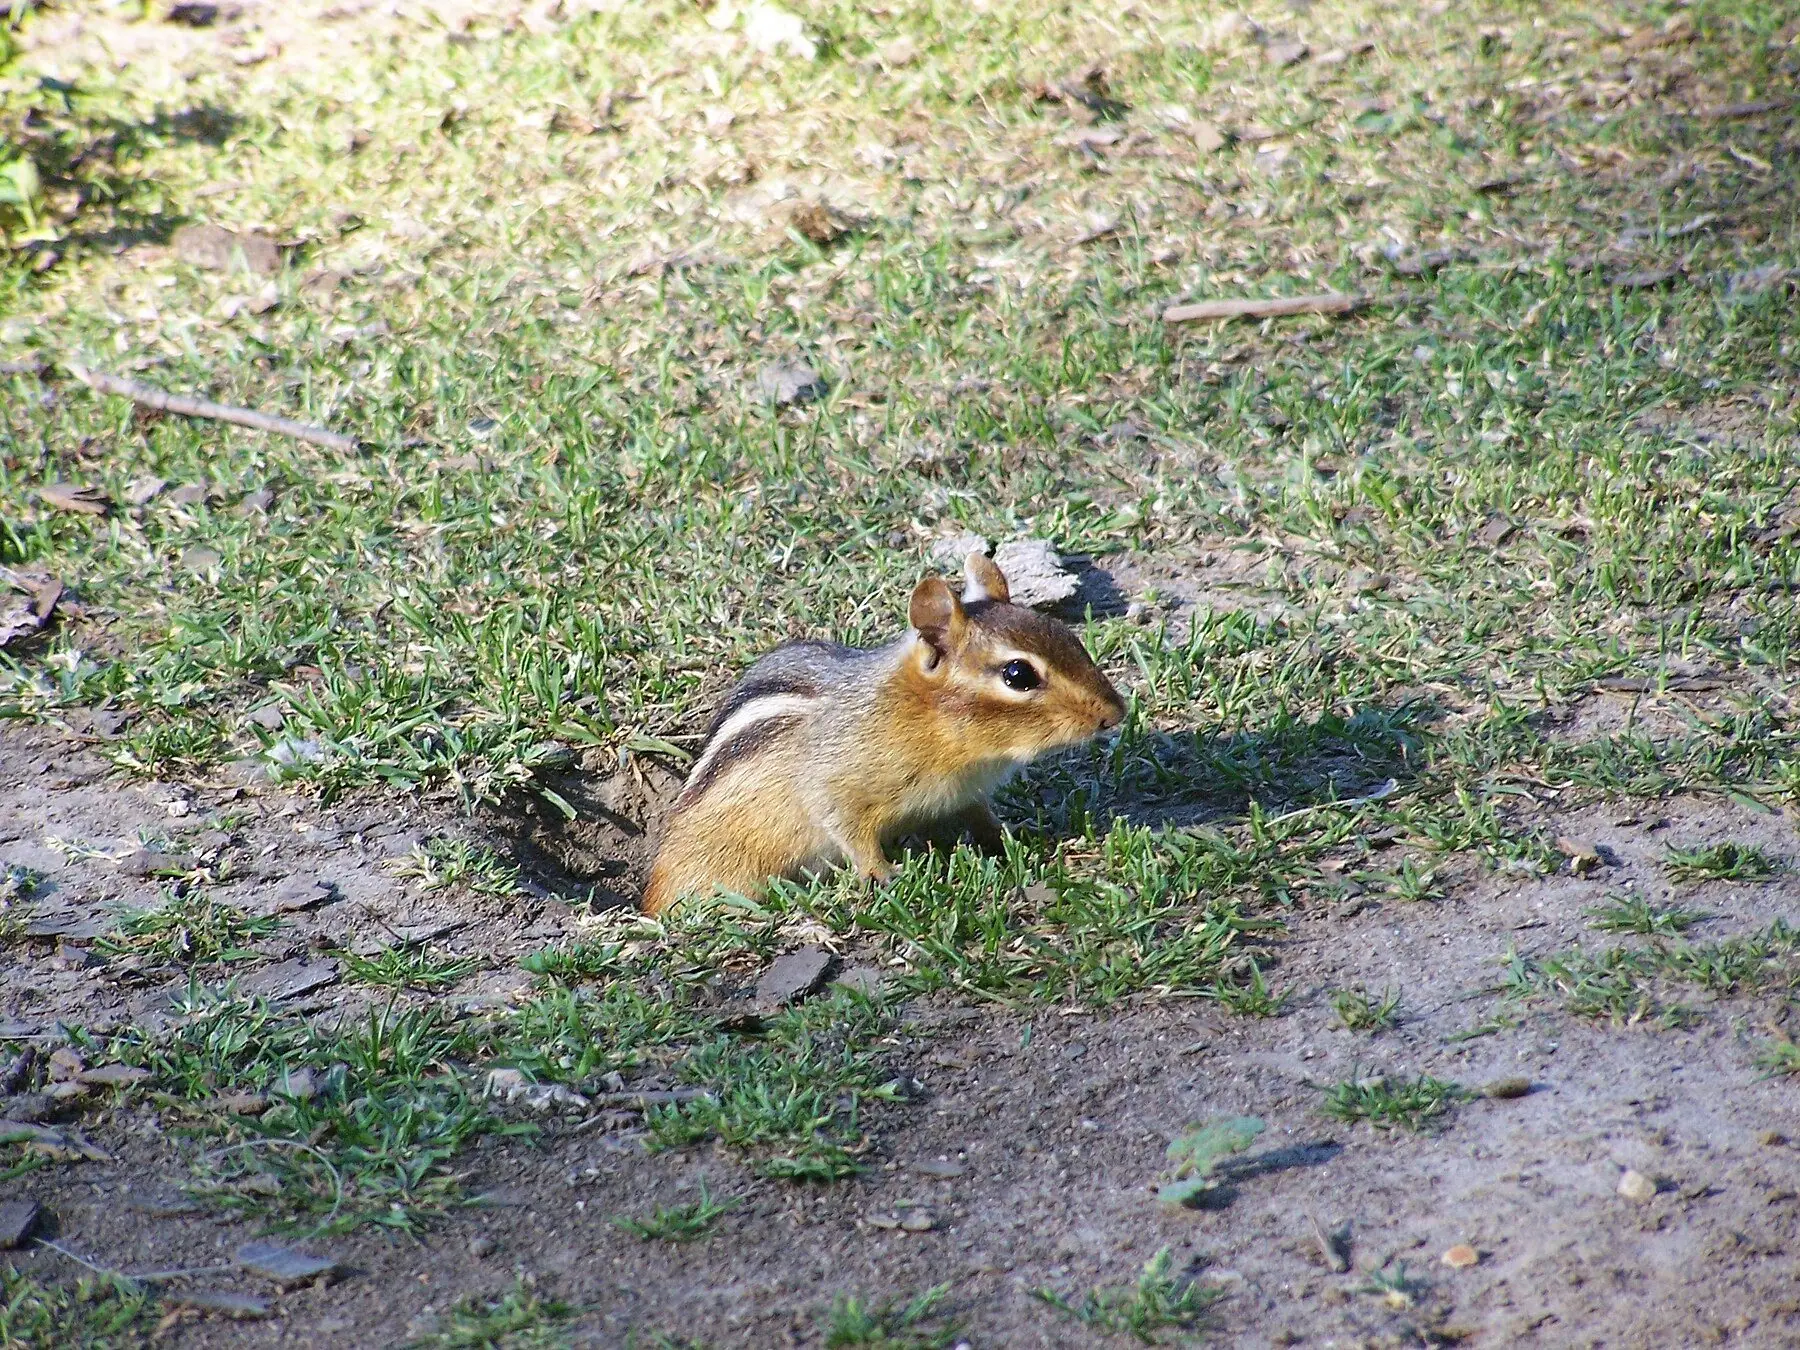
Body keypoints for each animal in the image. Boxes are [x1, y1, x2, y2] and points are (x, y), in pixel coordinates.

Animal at [641, 551, 1126, 916]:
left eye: (1068, 635)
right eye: (1018, 675)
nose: (1115, 714)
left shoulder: (964, 794)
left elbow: (981, 817)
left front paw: (1011, 837)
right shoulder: (835, 782)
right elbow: (846, 827)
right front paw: (883, 873)